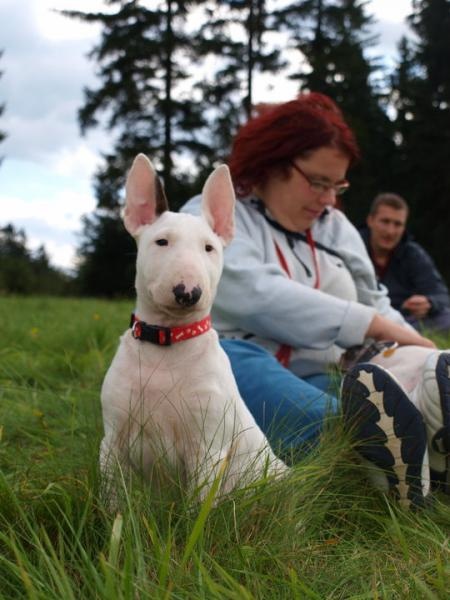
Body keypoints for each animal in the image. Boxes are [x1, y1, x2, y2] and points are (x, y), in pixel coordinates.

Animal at [99, 154, 288, 502]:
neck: (167, 341)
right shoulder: (112, 442)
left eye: (209, 248)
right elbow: (113, 500)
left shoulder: (208, 449)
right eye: (161, 241)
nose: (188, 292)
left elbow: (196, 508)